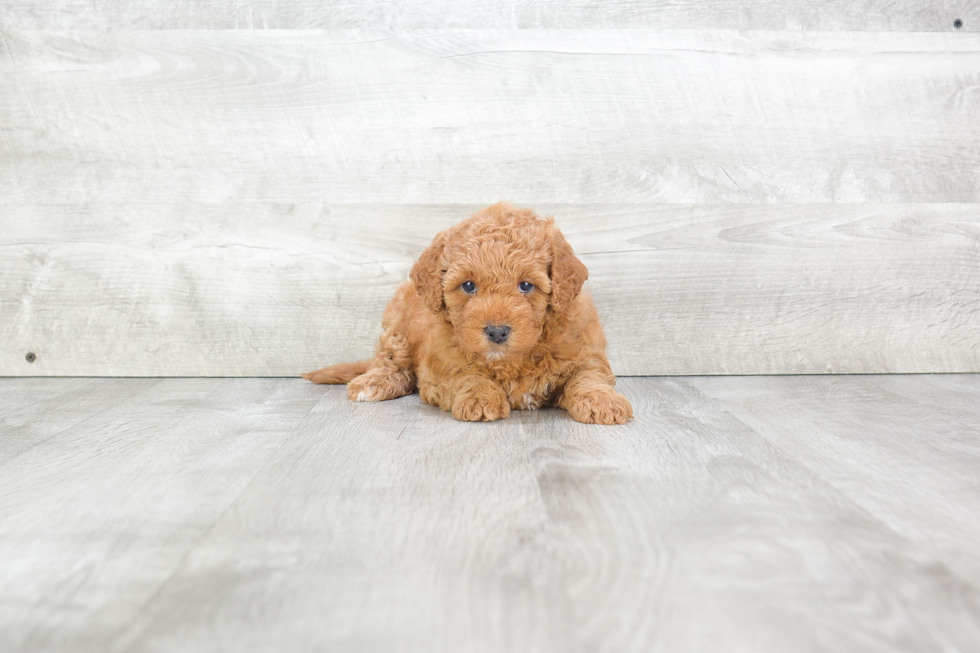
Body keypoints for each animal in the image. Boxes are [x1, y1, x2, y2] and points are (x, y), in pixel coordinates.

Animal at [302, 201, 632, 422]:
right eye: (469, 286)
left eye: (526, 285)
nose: (497, 331)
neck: (512, 361)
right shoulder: (439, 365)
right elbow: (465, 374)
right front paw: (480, 397)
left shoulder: (586, 352)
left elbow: (589, 377)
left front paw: (603, 402)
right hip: (396, 321)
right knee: (393, 363)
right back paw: (374, 383)